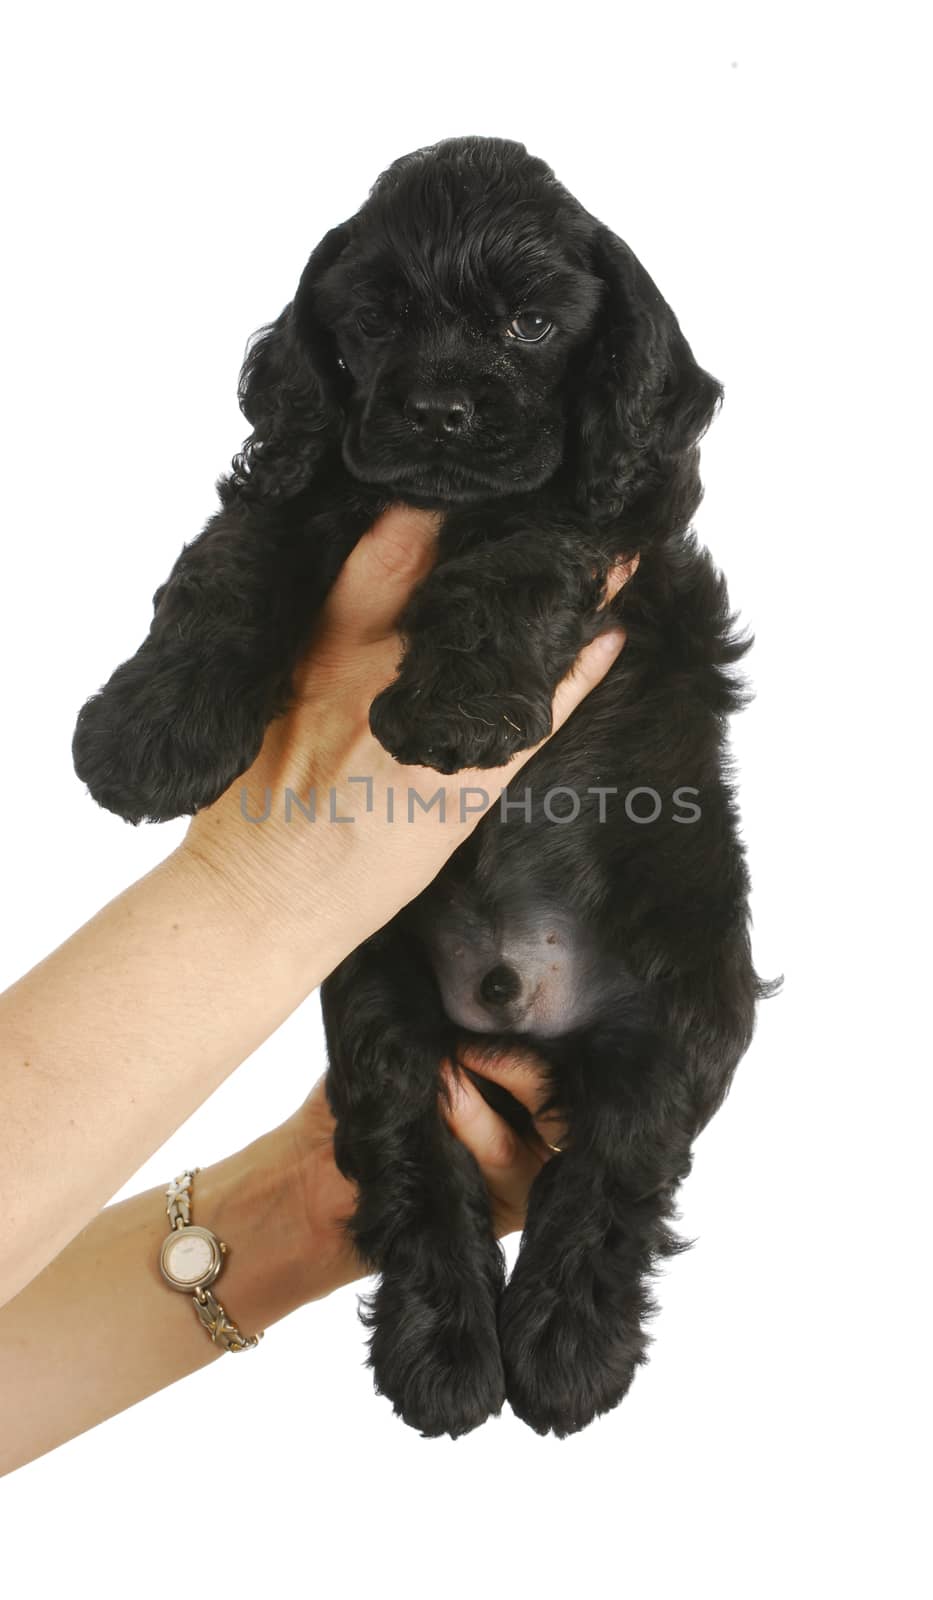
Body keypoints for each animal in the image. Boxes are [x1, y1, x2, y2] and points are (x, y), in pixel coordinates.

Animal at [72, 140, 774, 1440]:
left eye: (533, 323)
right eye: (377, 324)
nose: (443, 410)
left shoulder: (607, 501)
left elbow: (522, 547)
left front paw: (453, 712)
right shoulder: (310, 478)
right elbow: (233, 561)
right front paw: (147, 732)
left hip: (689, 1002)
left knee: (620, 1169)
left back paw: (563, 1351)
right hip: (380, 1003)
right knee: (408, 1156)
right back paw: (441, 1354)